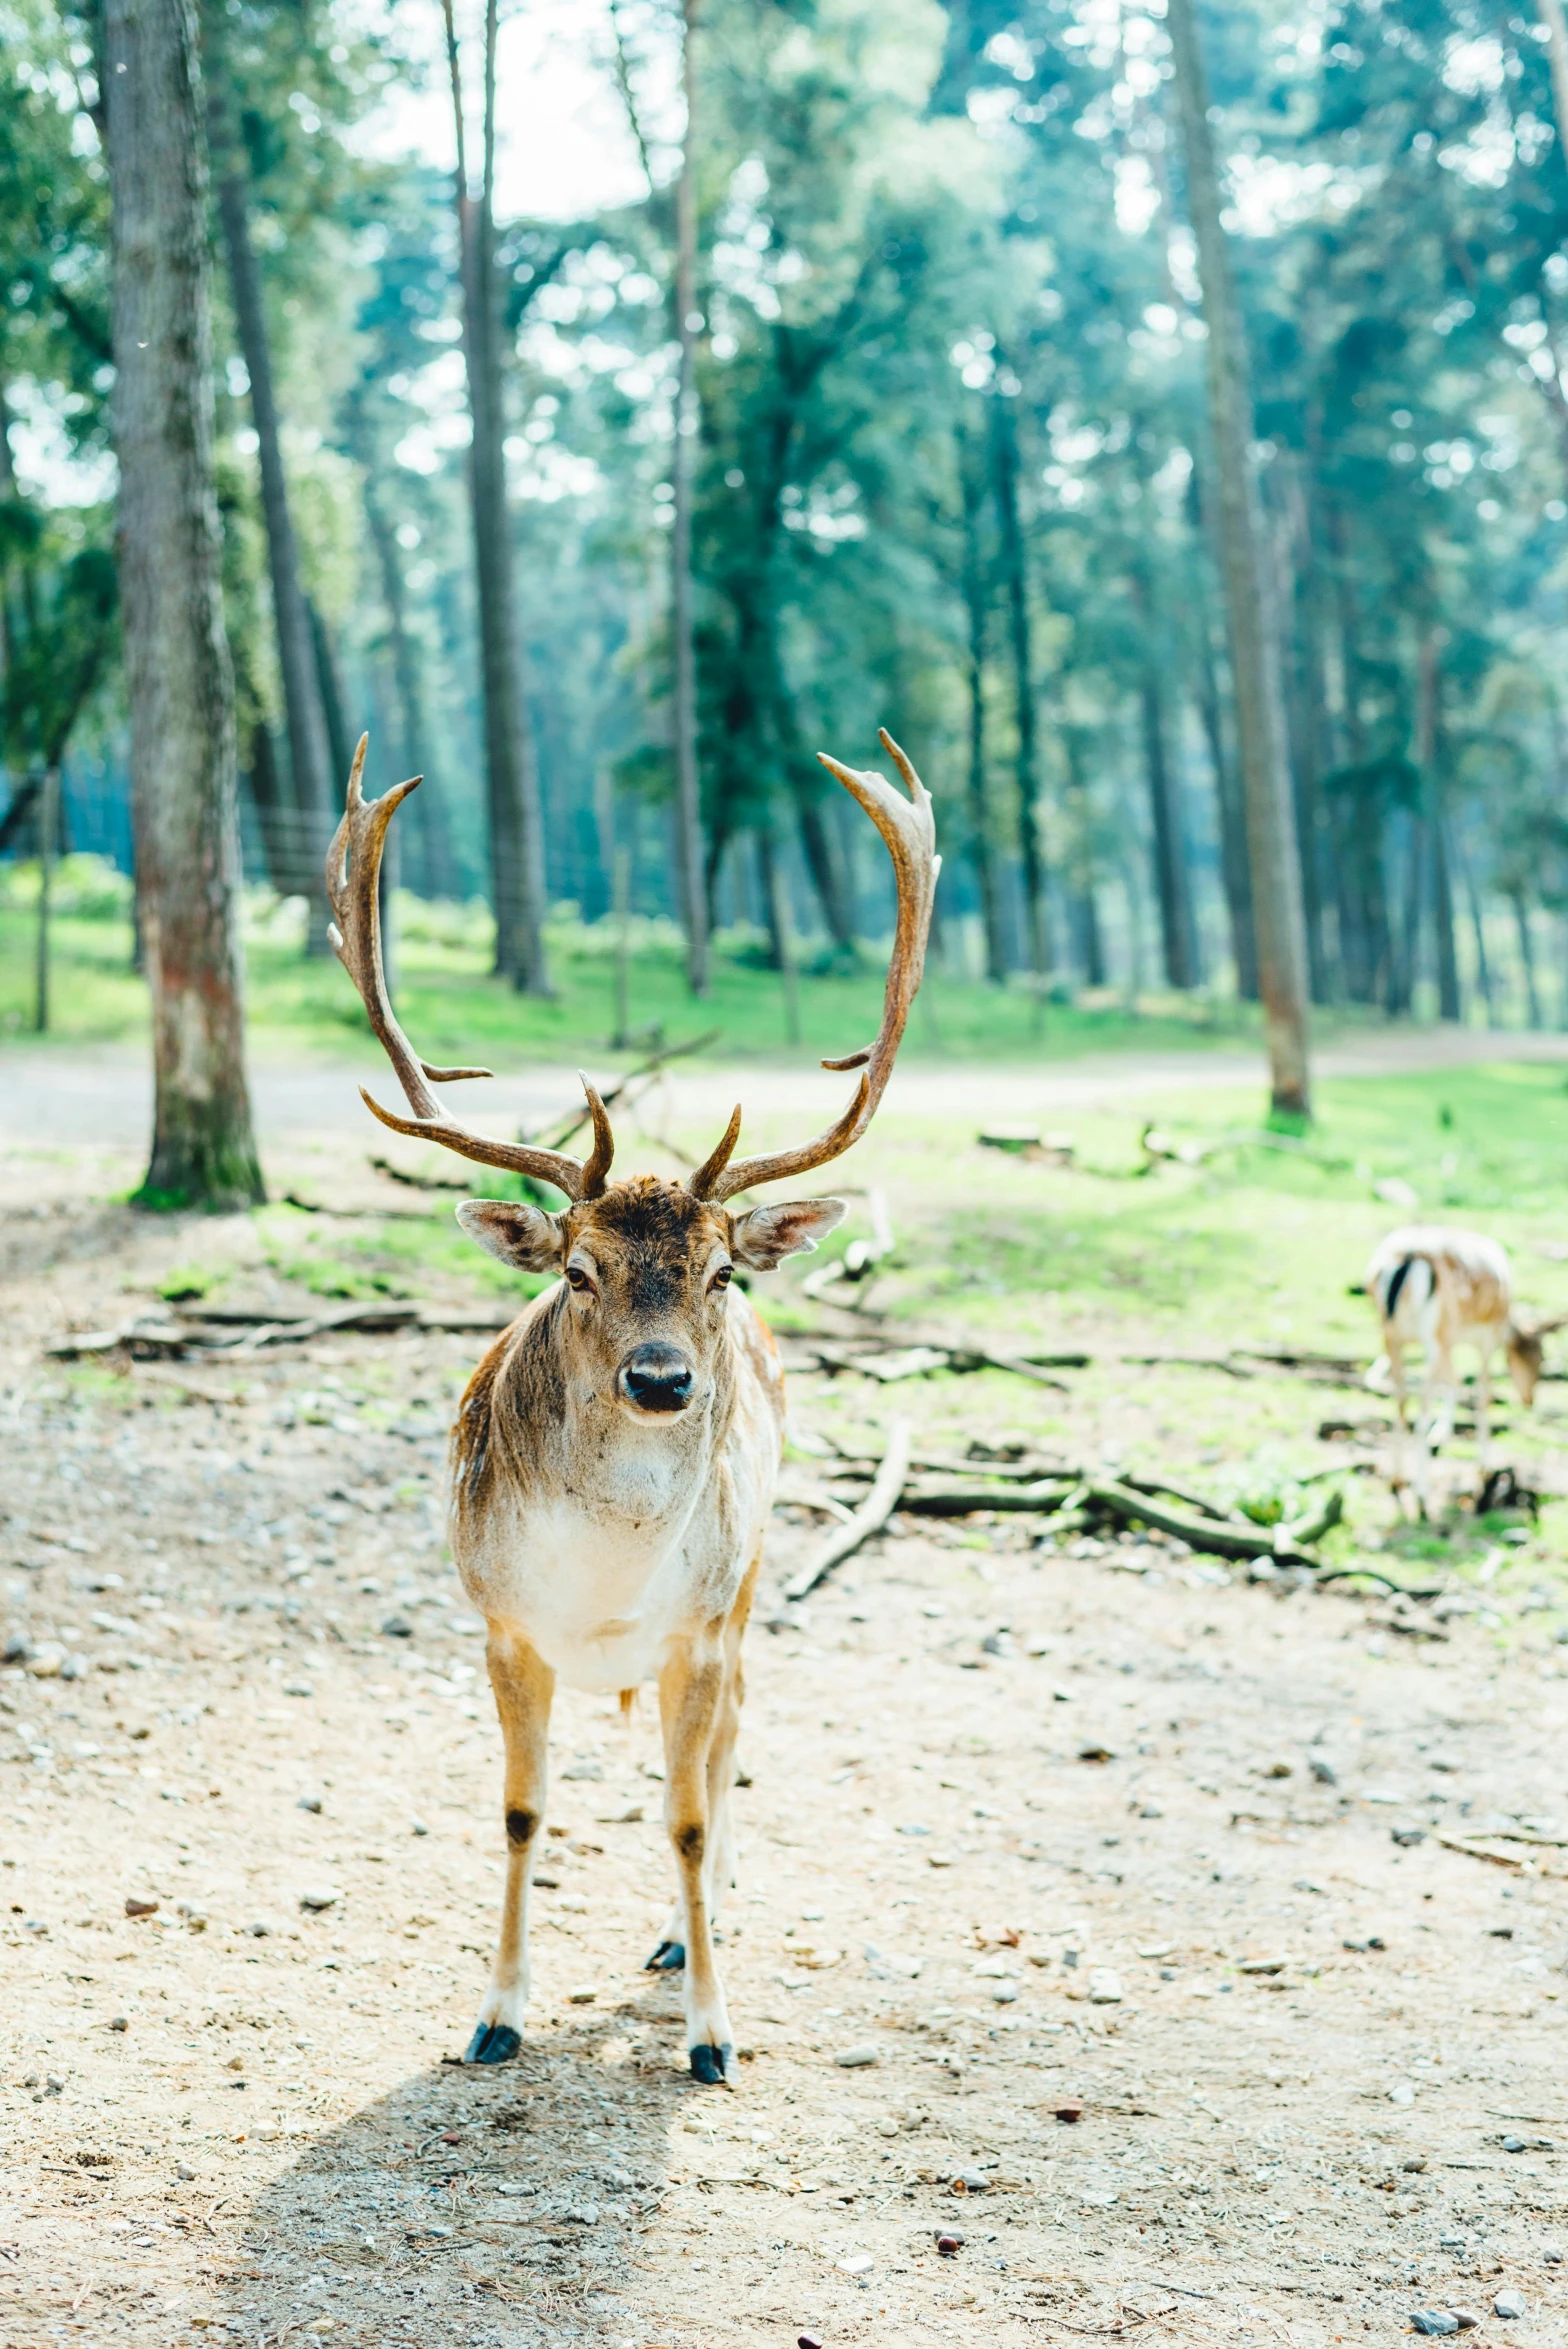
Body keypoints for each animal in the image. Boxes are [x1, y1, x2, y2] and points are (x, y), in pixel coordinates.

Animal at [319, 718, 929, 2076]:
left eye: (716, 1270)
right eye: (578, 1269)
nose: (660, 1378)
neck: (601, 1586)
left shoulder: (697, 1623)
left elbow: (690, 1819)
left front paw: (712, 2033)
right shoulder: (497, 1621)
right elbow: (518, 1811)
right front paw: (496, 2015)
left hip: (751, 1574)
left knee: (730, 1740)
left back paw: (679, 1934)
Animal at [1361, 1230, 1558, 1503]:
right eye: (1539, 1359)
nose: (1529, 1400)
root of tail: (1411, 1256)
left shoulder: (1452, 1342)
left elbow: (1453, 1380)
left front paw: (1440, 1434)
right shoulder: (1486, 1341)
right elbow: (1482, 1394)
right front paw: (1484, 1467)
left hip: (1391, 1333)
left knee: (1401, 1396)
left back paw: (1397, 1476)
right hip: (1437, 1332)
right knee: (1423, 1395)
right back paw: (1422, 1489)